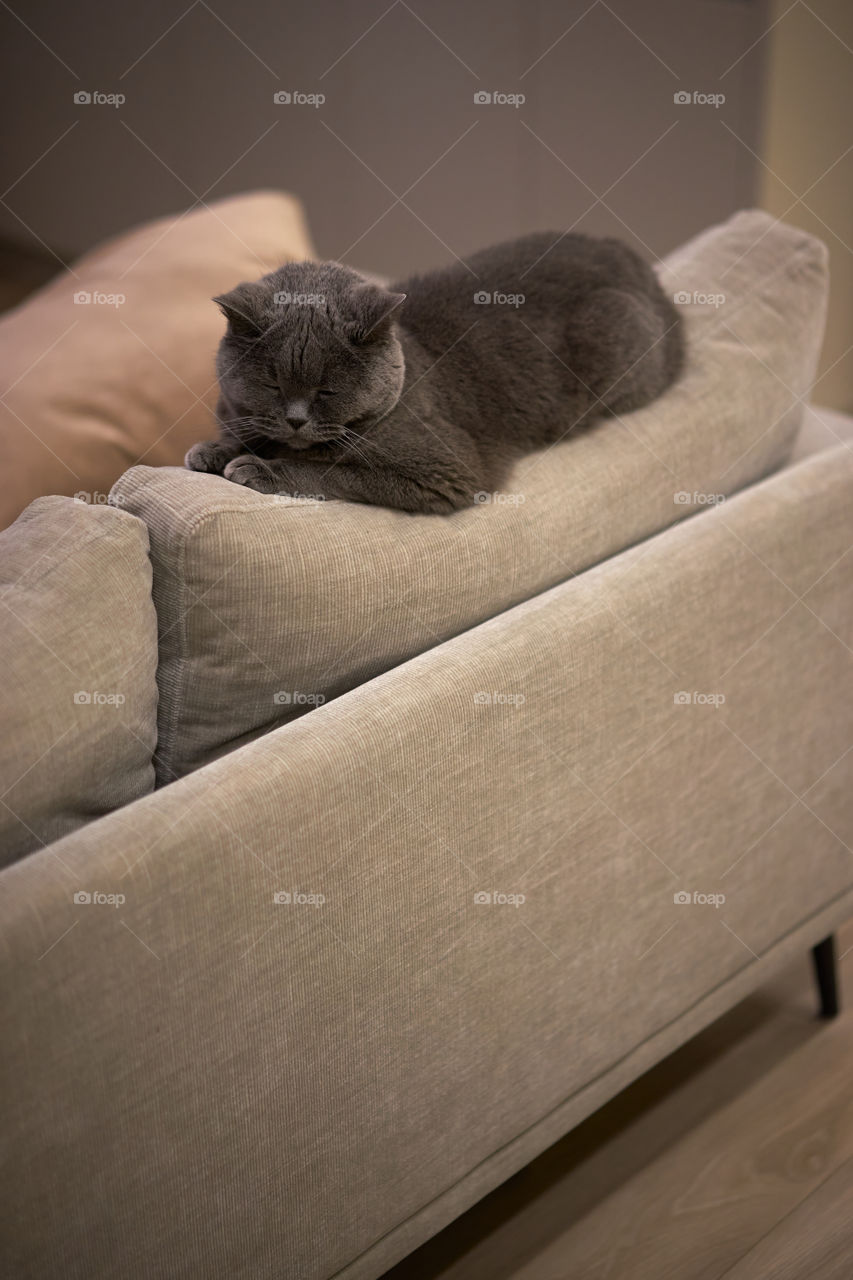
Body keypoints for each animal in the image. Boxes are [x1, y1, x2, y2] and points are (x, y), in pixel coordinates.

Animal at [188, 232, 686, 512]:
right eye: (272, 384)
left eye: (327, 391)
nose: (295, 419)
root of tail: (629, 257)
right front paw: (212, 451)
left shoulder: (447, 470)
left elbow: (336, 472)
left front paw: (257, 468)